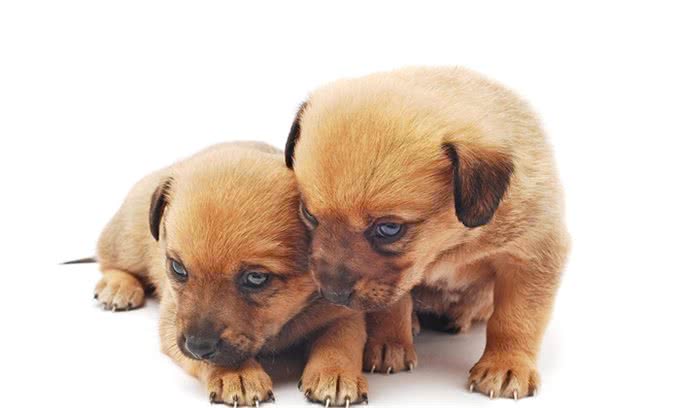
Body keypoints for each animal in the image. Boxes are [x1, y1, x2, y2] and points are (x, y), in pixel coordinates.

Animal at [70, 142, 368, 407]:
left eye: (256, 278)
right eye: (178, 268)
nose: (197, 346)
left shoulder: (343, 313)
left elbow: (340, 342)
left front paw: (336, 373)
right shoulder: (171, 320)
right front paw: (237, 375)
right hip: (127, 240)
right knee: (110, 261)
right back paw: (118, 287)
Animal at [284, 67, 570, 399]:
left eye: (389, 229)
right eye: (308, 214)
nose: (332, 296)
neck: (450, 243)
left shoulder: (532, 255)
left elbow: (516, 318)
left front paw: (506, 365)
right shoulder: (396, 280)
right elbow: (392, 305)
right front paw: (390, 343)